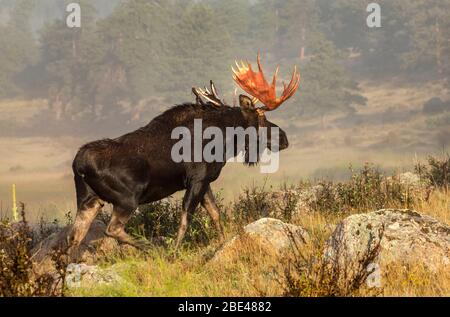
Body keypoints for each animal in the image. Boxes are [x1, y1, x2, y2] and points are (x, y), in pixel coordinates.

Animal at [68, 54, 300, 252]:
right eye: (260, 117)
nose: (284, 138)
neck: (224, 140)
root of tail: (79, 165)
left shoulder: (205, 181)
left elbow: (215, 214)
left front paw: (222, 239)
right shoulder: (196, 179)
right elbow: (186, 218)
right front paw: (175, 251)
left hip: (89, 200)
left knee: (74, 237)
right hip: (127, 198)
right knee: (112, 229)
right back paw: (153, 249)